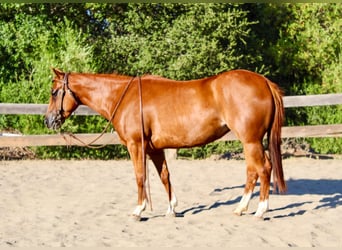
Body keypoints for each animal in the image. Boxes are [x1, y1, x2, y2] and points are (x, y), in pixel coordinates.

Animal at [45, 68, 286, 219]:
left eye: (54, 92)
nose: (48, 120)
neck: (124, 97)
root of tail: (263, 82)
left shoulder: (136, 146)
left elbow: (140, 176)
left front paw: (138, 210)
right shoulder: (154, 149)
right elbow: (164, 176)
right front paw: (172, 209)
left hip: (251, 141)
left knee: (263, 169)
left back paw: (260, 210)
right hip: (249, 142)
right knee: (252, 171)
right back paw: (241, 208)